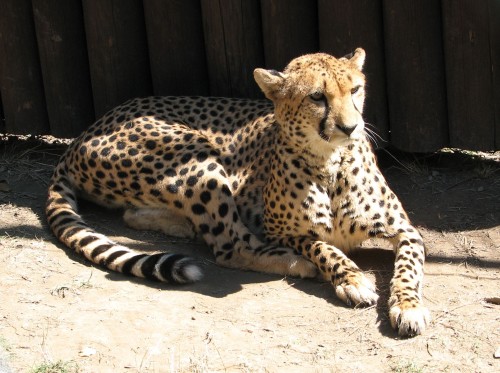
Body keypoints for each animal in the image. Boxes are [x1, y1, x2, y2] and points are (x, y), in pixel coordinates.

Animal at [46, 48, 430, 336]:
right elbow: (323, 247)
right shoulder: (282, 230)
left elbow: (408, 269)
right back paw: (294, 262)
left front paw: (408, 307)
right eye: (317, 97)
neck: (330, 164)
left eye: (355, 90)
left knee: (135, 214)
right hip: (196, 154)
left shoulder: (406, 231)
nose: (351, 127)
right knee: (229, 247)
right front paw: (351, 277)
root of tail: (84, 132)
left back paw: (182, 225)